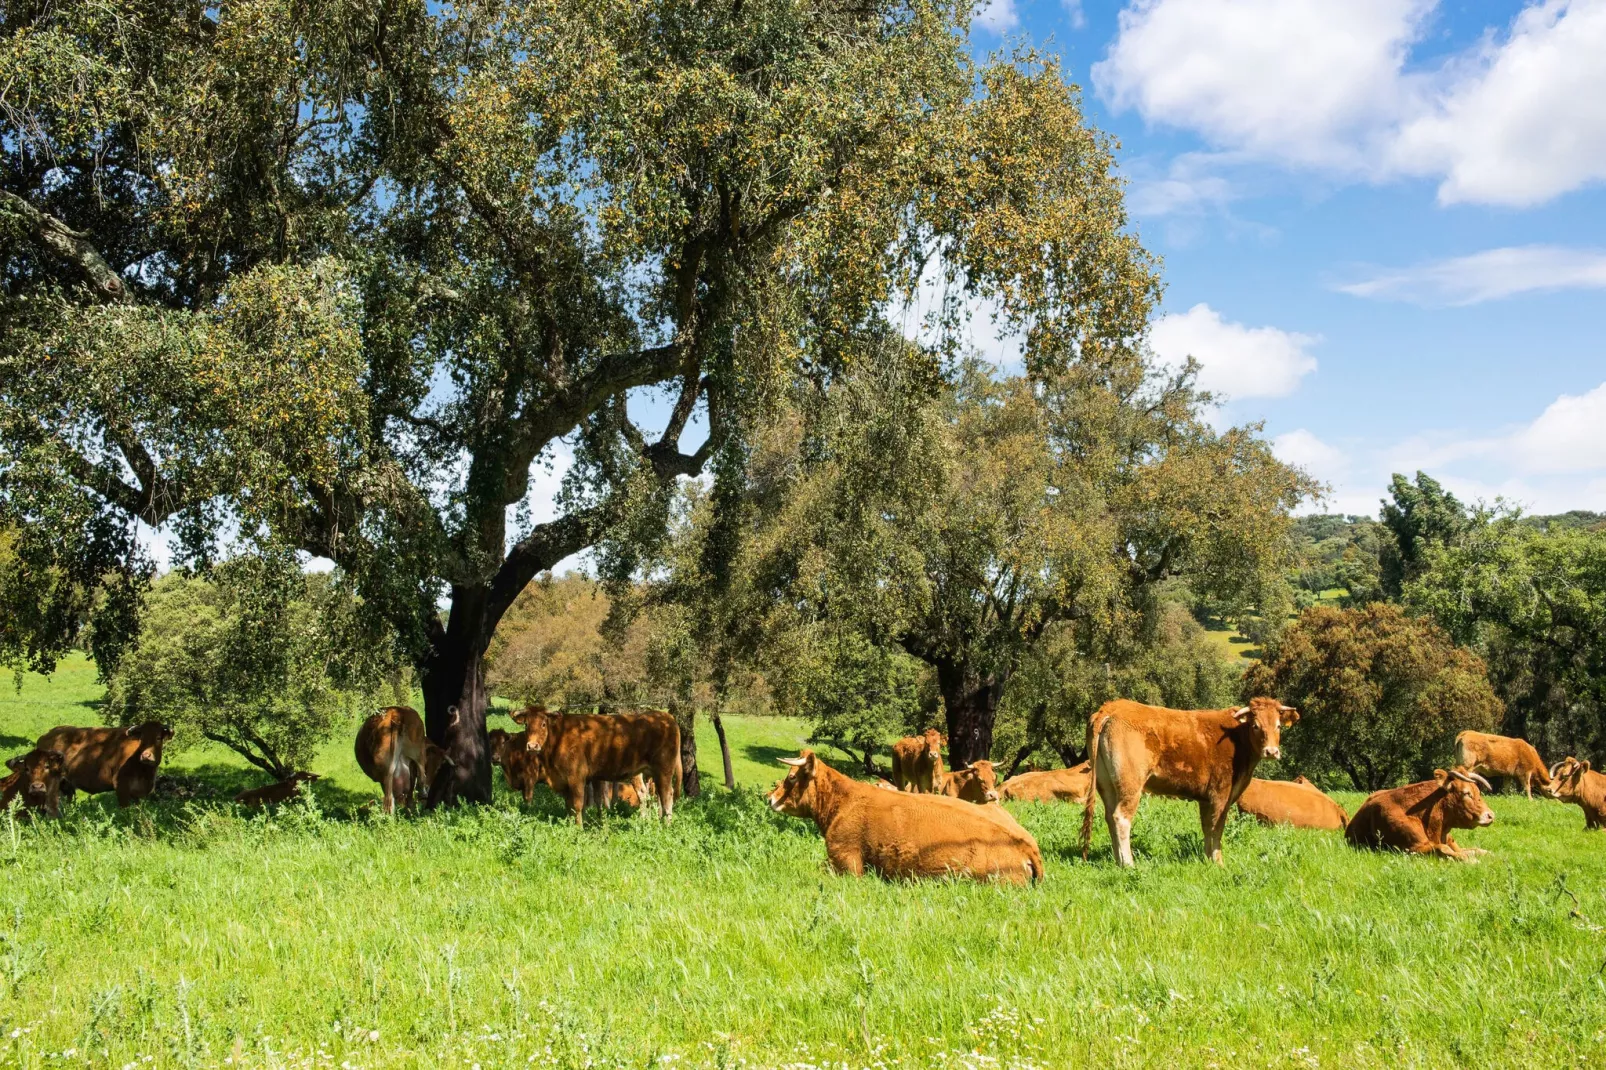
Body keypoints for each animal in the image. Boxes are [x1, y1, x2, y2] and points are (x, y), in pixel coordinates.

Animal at [36, 719, 173, 803]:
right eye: (142, 739)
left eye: (158, 738)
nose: (146, 756)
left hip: (65, 786)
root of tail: (47, 734)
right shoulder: (121, 788)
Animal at [513, 703, 677, 819]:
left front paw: (579, 829)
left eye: (543, 724)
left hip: (664, 770)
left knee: (667, 796)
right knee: (656, 796)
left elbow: (578, 805)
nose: (532, 746)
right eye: (526, 725)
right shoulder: (565, 782)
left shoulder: (577, 778)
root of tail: (665, 716)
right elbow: (570, 807)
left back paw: (665, 825)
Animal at [1079, 697, 1291, 861]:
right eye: (1256, 726)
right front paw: (1218, 862)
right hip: (1130, 784)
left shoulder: (1206, 799)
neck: (1236, 738)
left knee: (1109, 816)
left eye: (1279, 726)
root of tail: (1111, 707)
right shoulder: (1221, 794)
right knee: (1121, 818)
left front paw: (1208, 859)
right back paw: (1128, 863)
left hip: (1106, 784)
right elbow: (1217, 828)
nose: (1272, 752)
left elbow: (1207, 827)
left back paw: (1117, 860)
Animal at [1342, 767, 1490, 861]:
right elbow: (1444, 849)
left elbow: (1476, 850)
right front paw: (1470, 861)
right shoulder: (1411, 848)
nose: (1490, 815)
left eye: (1478, 791)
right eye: (1466, 793)